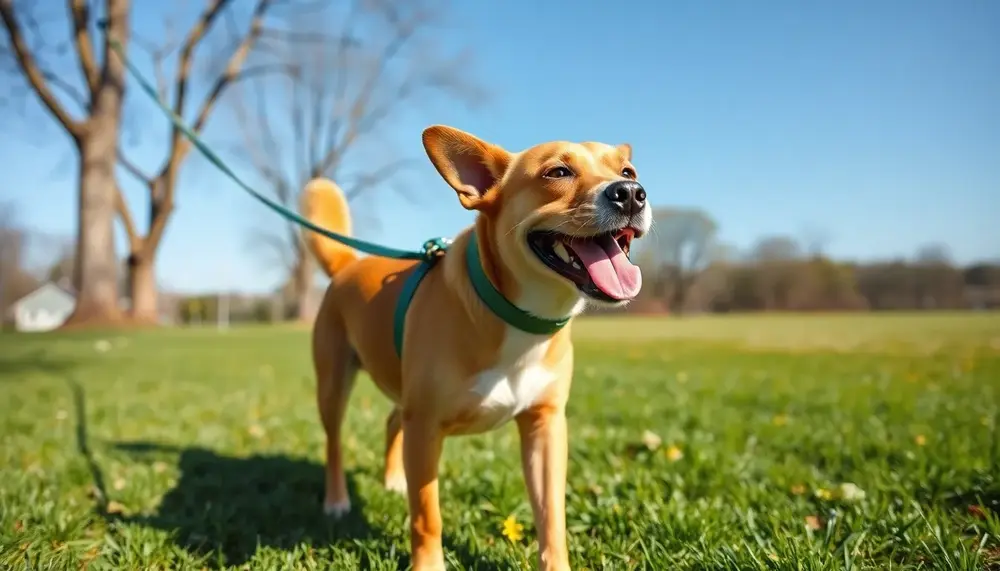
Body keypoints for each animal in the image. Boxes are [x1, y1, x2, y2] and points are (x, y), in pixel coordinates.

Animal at [300, 124, 652, 568]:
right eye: (557, 172)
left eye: (628, 170)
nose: (631, 192)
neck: (520, 319)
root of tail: (349, 264)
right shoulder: (425, 426)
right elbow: (426, 515)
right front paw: (428, 565)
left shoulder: (545, 426)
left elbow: (551, 516)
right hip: (333, 384)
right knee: (334, 442)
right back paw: (336, 500)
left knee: (392, 420)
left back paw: (393, 480)